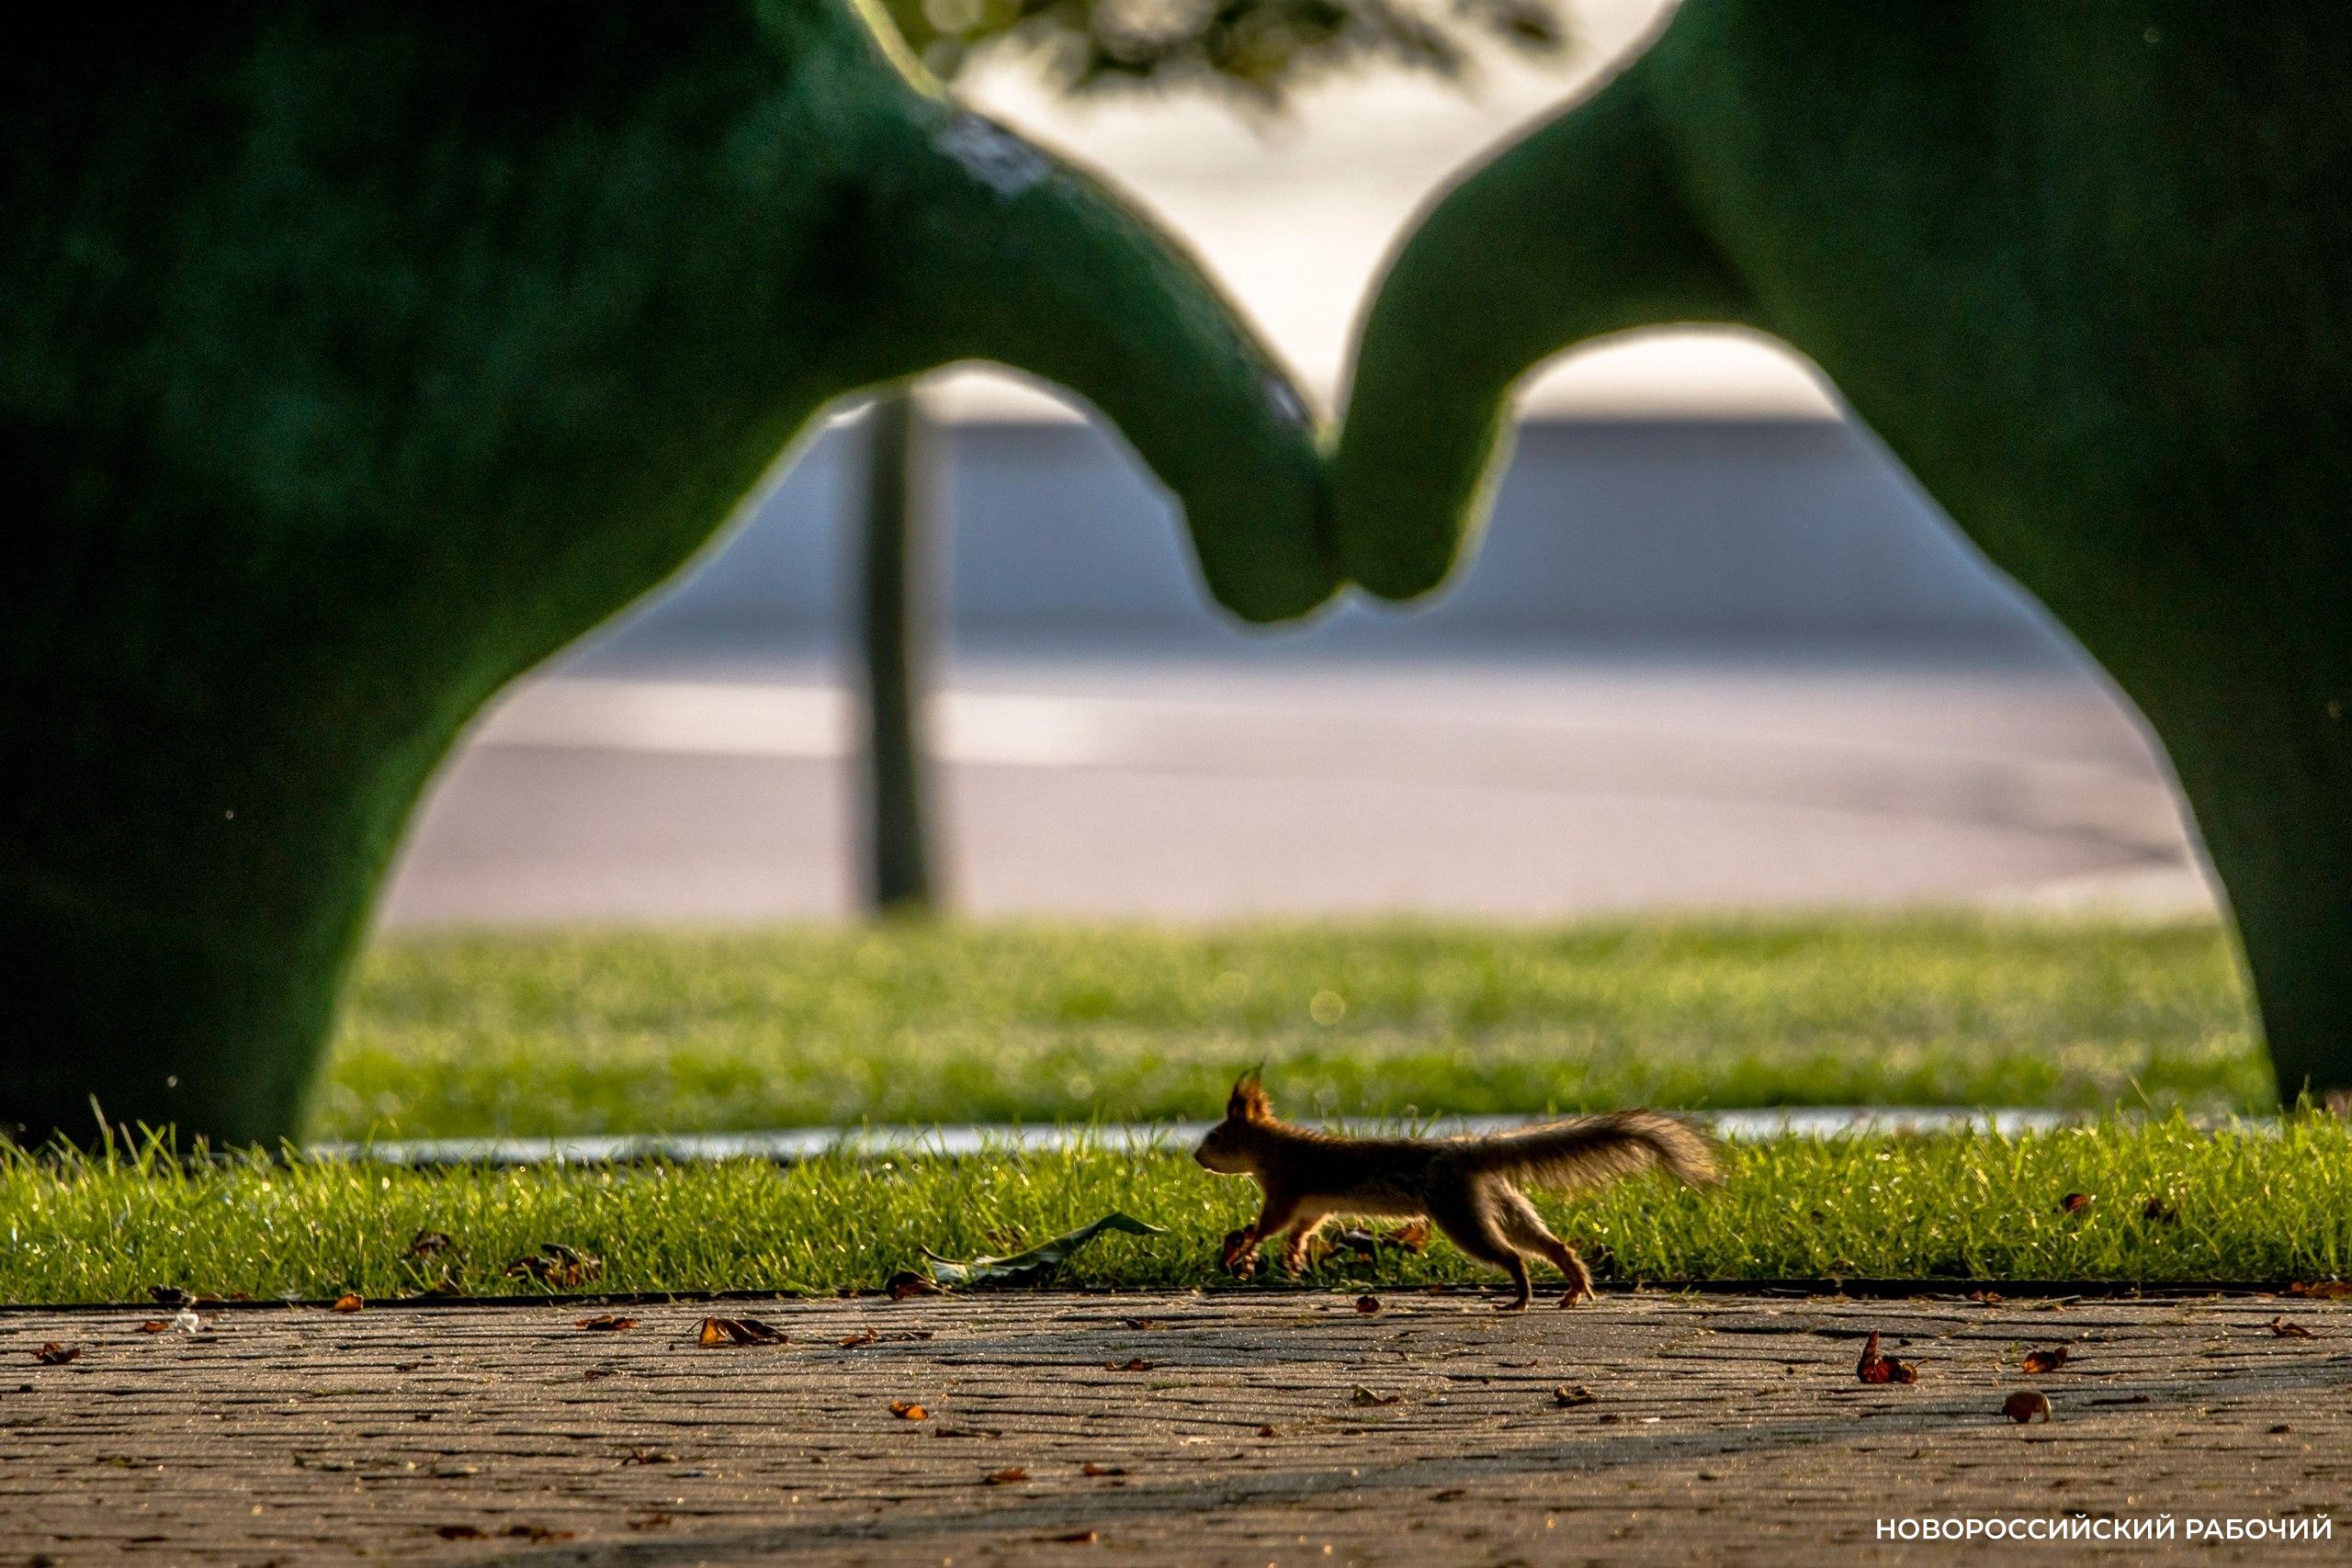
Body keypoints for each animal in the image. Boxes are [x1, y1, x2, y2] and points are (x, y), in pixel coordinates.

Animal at [1192, 1073, 1717, 1310]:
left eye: (1215, 1137)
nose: (1196, 1157)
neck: (1271, 1148)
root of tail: (1470, 1153)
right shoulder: (1312, 1205)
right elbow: (1300, 1228)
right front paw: (1294, 1256)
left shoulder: (1287, 1186)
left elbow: (1270, 1224)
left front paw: (1244, 1247)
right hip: (1499, 1203)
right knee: (1548, 1244)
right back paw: (1573, 1284)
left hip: (1459, 1212)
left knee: (1512, 1255)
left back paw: (1521, 1298)